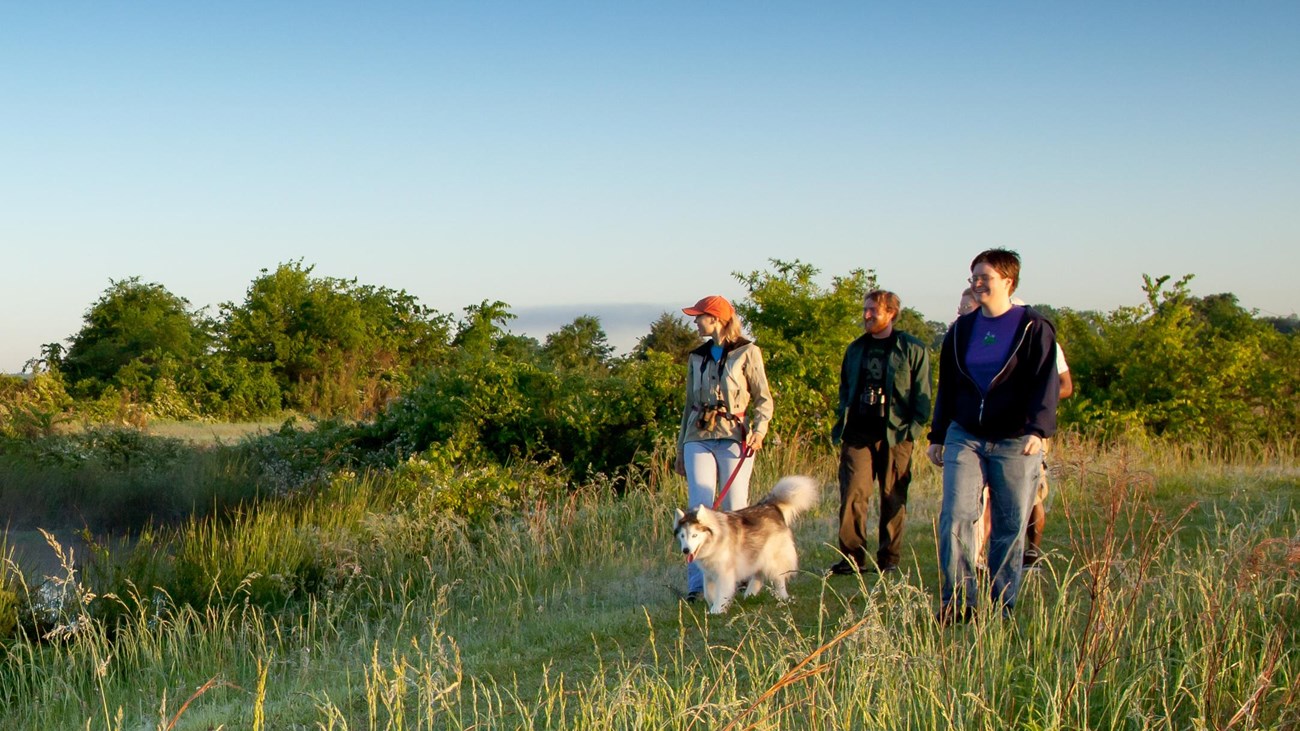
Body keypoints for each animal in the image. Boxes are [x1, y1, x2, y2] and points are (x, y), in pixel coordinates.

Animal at [676, 476, 816, 611]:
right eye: (682, 536)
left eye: (694, 535)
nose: (685, 550)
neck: (714, 540)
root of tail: (770, 506)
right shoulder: (709, 573)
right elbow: (708, 592)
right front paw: (712, 603)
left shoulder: (724, 573)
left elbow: (721, 592)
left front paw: (716, 609)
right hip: (757, 553)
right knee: (759, 575)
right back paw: (750, 594)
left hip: (772, 558)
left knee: (778, 578)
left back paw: (782, 597)